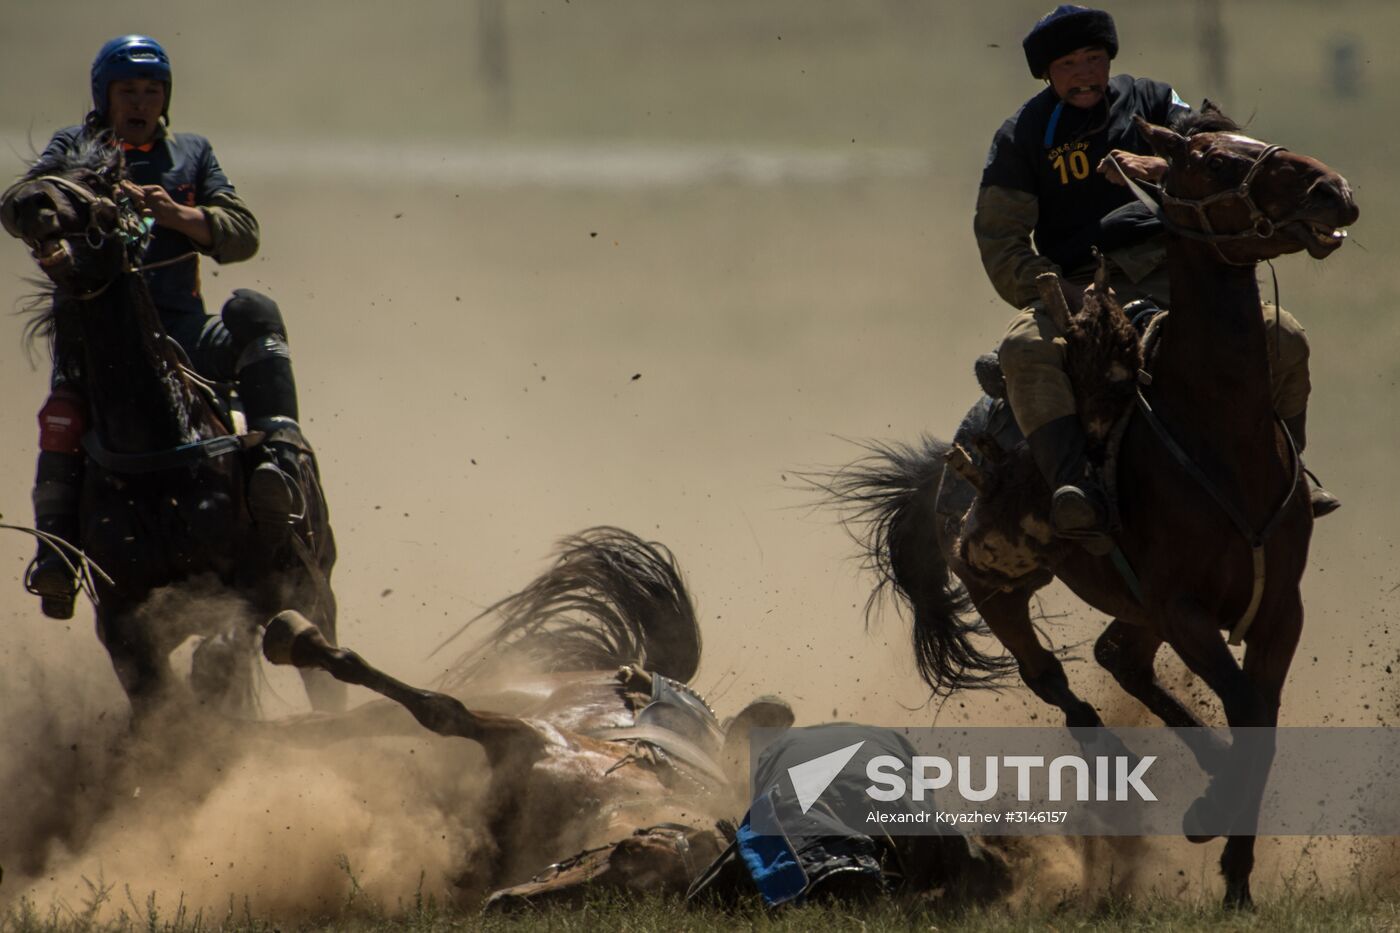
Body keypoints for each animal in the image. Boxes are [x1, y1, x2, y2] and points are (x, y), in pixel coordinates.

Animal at [4, 140, 343, 711]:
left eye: (100, 179)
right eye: (42, 170)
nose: (30, 204)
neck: (155, 451)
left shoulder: (249, 590)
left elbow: (220, 661)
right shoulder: (121, 618)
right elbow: (156, 698)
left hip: (313, 585)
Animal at [823, 107, 1360, 902]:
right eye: (1211, 160)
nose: (1332, 191)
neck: (1218, 441)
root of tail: (946, 469)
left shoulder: (1276, 612)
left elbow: (1258, 721)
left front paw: (1236, 878)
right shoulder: (1184, 609)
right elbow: (1243, 707)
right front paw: (1213, 821)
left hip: (1134, 609)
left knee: (1117, 657)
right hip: (999, 586)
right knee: (1052, 678)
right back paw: (1120, 763)